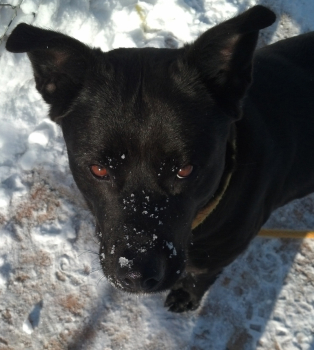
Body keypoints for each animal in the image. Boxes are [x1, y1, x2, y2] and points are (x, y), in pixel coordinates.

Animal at [6, 6, 314, 312]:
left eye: (185, 170)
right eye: (99, 169)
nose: (136, 275)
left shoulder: (215, 259)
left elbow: (199, 278)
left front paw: (186, 296)